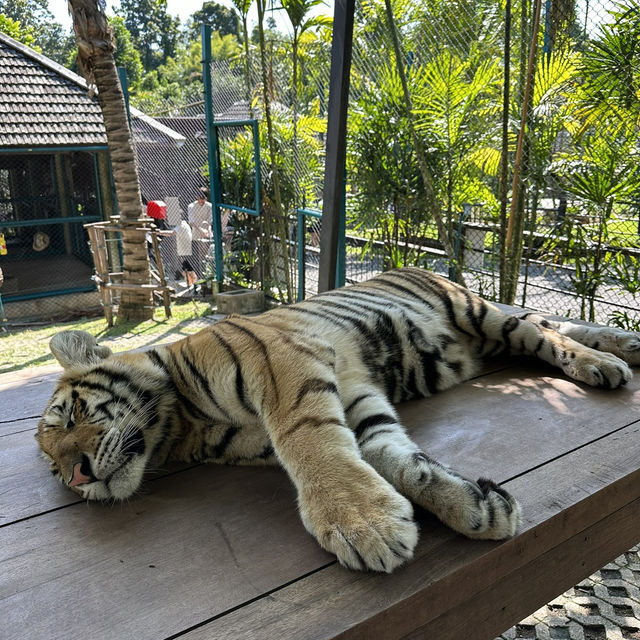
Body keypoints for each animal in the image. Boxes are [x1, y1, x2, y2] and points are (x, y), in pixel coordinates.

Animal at [37, 264, 636, 568]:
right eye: (55, 471)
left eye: (69, 418)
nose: (79, 476)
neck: (184, 426)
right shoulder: (354, 397)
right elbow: (397, 459)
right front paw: (476, 508)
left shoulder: (284, 367)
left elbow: (310, 442)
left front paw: (362, 527)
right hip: (491, 332)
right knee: (548, 320)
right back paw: (623, 342)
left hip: (478, 312)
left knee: (543, 331)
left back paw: (603, 362)